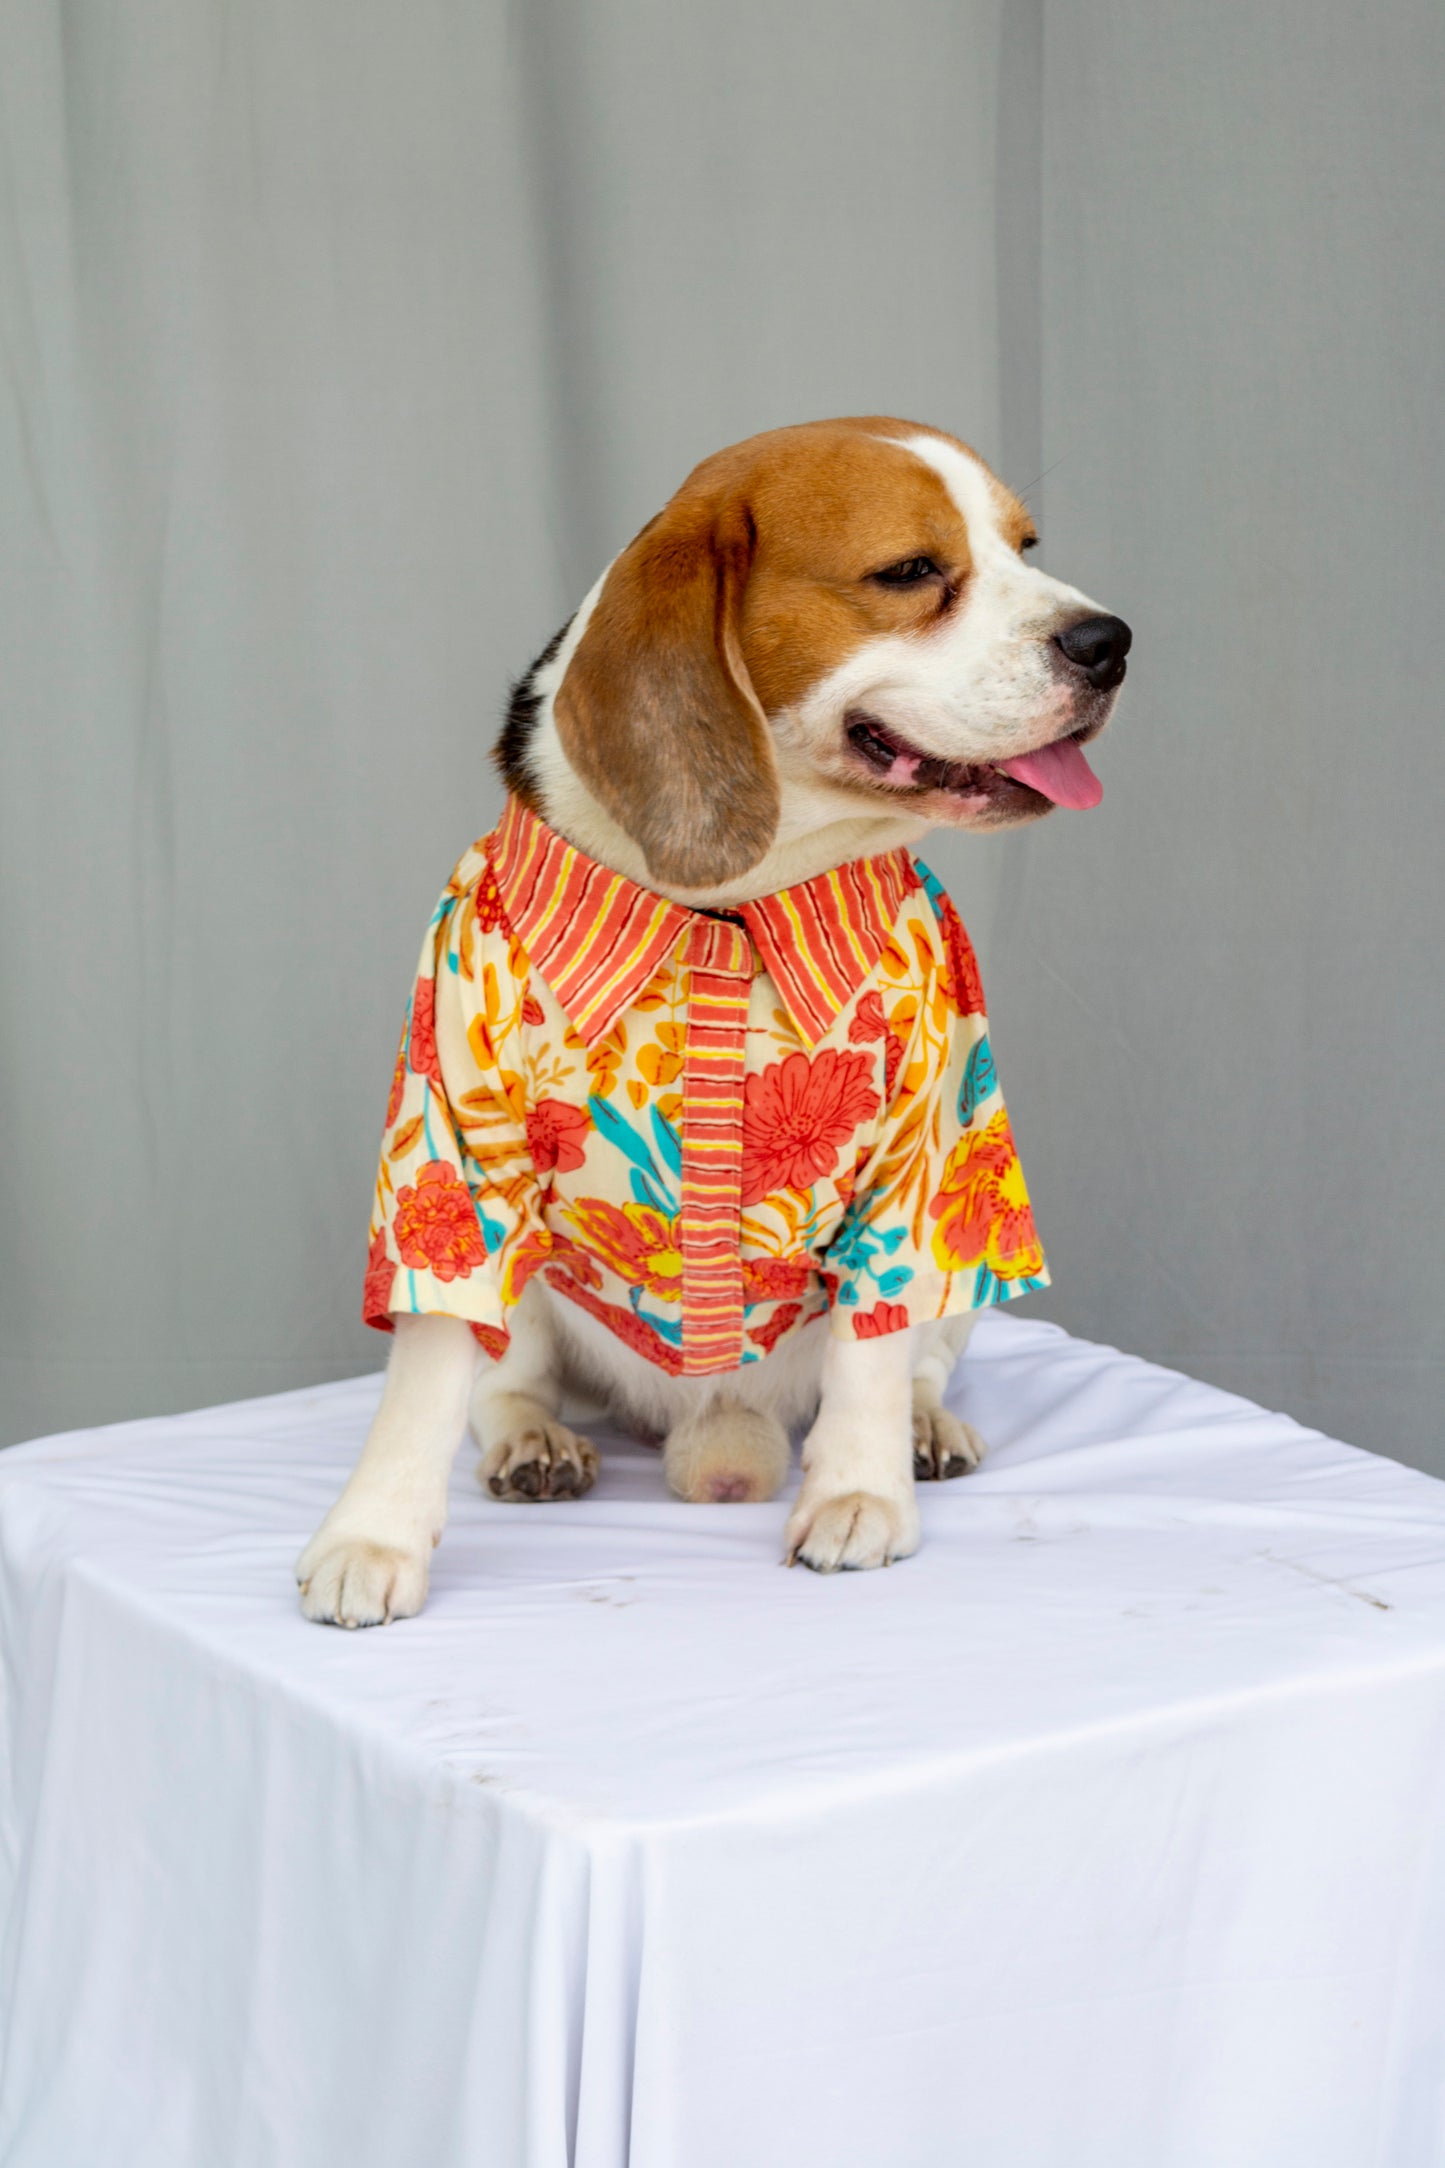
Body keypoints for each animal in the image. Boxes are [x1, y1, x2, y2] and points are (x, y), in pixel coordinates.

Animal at [296, 414, 1126, 1621]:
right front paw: (373, 1534)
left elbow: (871, 1350)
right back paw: (534, 1440)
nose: (1109, 641)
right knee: (508, 1377)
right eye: (911, 571)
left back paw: (922, 1426)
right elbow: (429, 1367)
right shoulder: (448, 1148)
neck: (727, 904)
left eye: (1025, 546)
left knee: (917, 1351)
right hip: (532, 1291)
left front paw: (857, 1493)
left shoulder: (918, 1155)